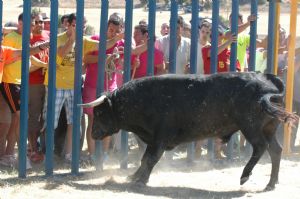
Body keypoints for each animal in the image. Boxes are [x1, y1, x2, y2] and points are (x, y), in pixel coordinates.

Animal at [79, 72, 298, 190]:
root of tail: (267, 81)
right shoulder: (153, 139)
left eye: (99, 112)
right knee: (275, 150)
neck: (144, 99)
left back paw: (245, 175)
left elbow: (150, 159)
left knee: (260, 147)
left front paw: (141, 180)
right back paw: (271, 183)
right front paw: (134, 176)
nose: (93, 134)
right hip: (268, 129)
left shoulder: (160, 138)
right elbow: (144, 159)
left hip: (250, 127)